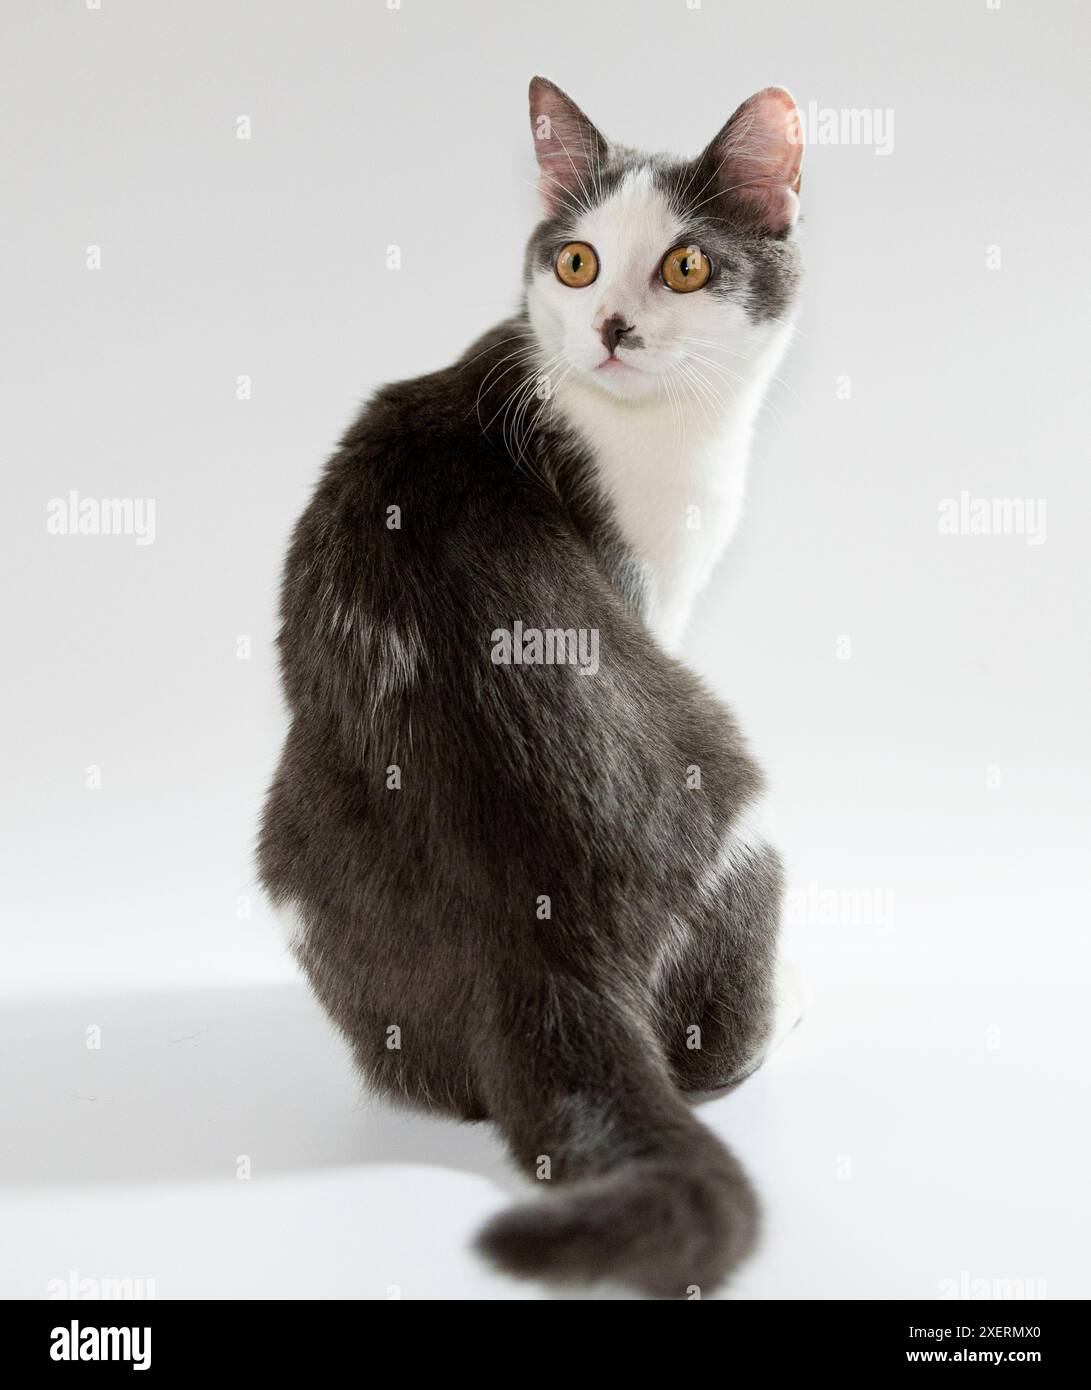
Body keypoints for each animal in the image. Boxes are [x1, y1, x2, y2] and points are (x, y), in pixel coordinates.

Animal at [255, 73, 800, 1289]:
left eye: (683, 266)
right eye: (579, 263)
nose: (607, 329)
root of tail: (541, 950)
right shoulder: (648, 590)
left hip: (291, 856)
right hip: (743, 812)